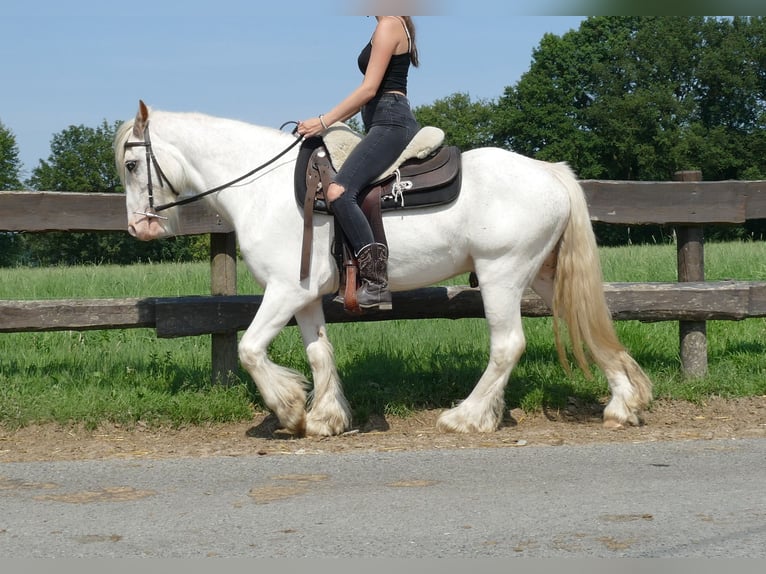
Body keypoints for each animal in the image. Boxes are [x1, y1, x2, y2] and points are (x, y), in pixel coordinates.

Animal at [115, 102, 656, 436]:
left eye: (132, 165)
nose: (140, 227)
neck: (265, 188)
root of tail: (549, 171)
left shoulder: (284, 291)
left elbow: (249, 350)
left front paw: (289, 411)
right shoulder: (304, 296)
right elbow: (320, 354)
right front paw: (326, 418)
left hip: (501, 274)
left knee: (507, 346)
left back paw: (466, 416)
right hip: (543, 274)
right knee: (588, 326)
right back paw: (622, 404)